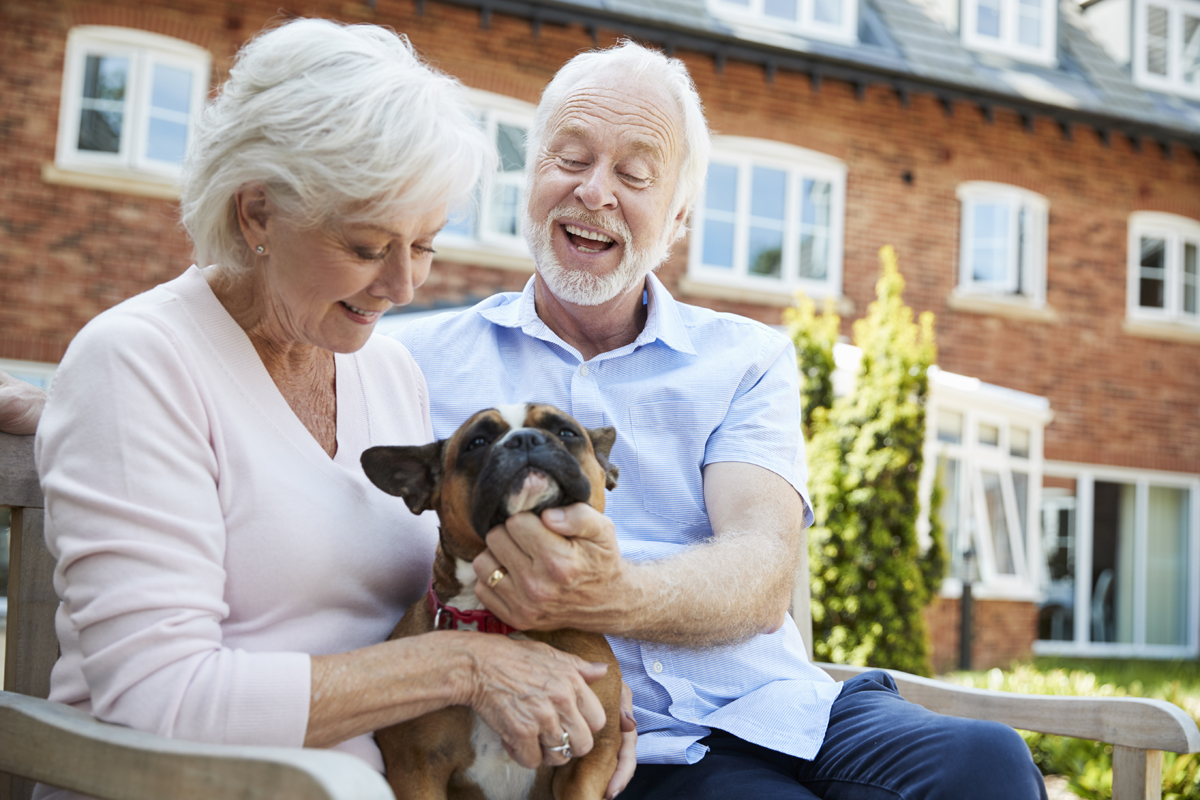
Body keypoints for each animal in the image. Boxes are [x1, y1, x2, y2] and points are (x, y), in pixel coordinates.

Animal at [360, 402, 624, 800]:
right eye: (477, 442)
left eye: (566, 432)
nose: (524, 439)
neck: (499, 621)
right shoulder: (414, 767)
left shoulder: (592, 756)